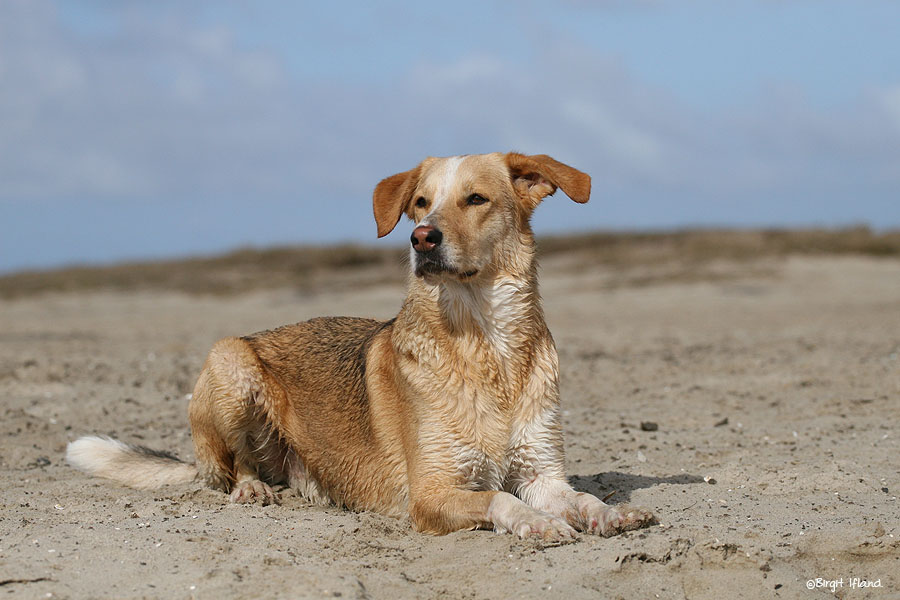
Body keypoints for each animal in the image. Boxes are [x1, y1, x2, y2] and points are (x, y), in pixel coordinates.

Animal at [65, 152, 652, 540]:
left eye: (476, 199)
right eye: (421, 202)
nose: (421, 237)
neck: (487, 344)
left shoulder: (541, 472)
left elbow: (576, 495)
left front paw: (610, 513)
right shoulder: (432, 493)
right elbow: (499, 497)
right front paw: (536, 522)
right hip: (230, 362)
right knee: (233, 466)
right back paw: (251, 488)